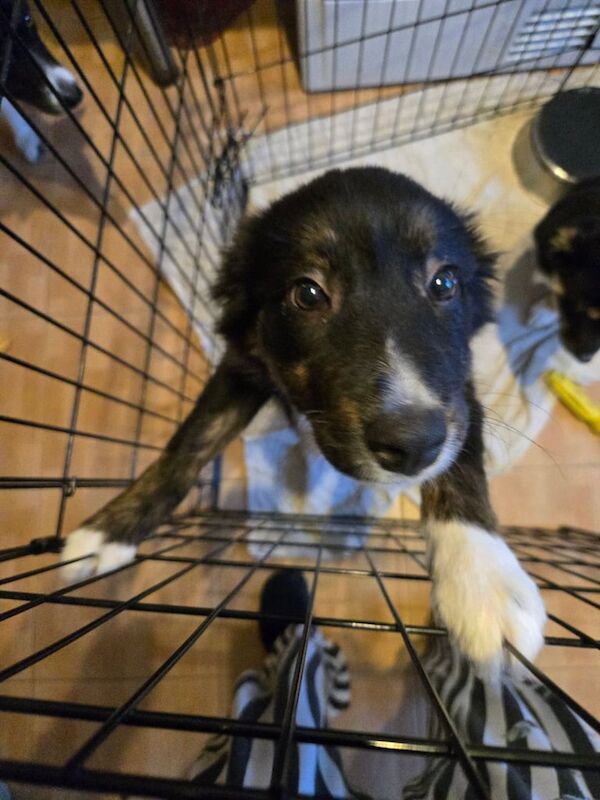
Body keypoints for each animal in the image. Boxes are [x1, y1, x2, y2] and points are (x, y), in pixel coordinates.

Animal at [62, 169, 548, 668]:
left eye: (444, 283)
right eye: (308, 293)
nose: (414, 444)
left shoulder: (458, 390)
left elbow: (463, 459)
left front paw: (483, 578)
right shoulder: (244, 363)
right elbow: (193, 439)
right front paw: (109, 529)